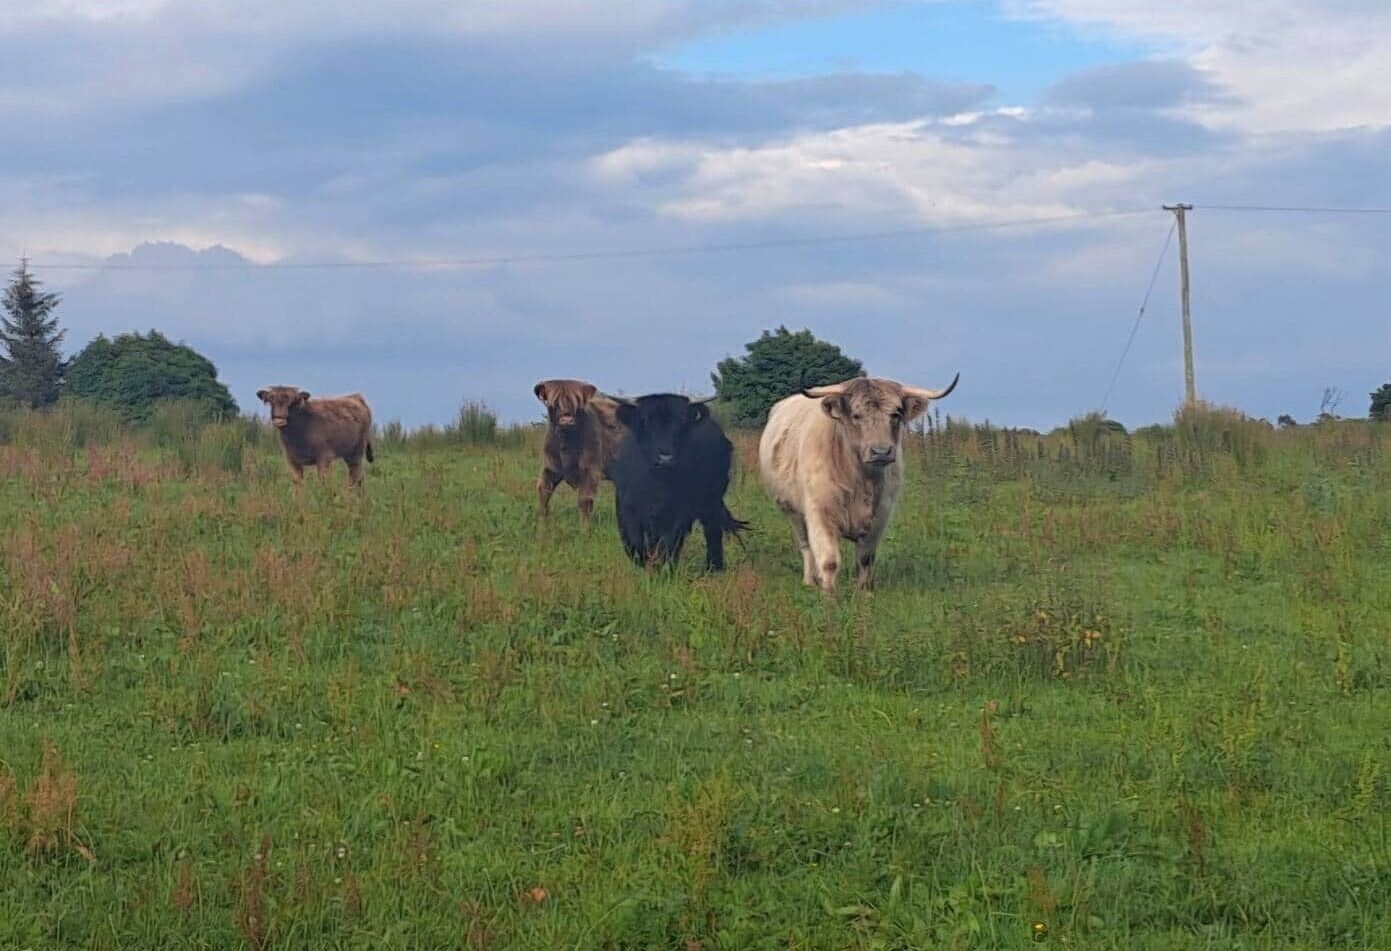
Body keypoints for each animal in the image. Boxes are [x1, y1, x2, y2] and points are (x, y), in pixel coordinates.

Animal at [533, 378, 623, 524]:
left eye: (576, 403)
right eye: (554, 403)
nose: (566, 419)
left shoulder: (590, 469)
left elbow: (585, 500)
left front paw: (584, 528)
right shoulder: (550, 467)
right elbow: (544, 492)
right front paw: (541, 524)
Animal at [607, 393, 748, 571]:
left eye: (682, 422)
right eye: (645, 421)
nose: (665, 457)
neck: (657, 485)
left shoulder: (679, 511)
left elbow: (668, 543)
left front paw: (664, 570)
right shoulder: (627, 508)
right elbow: (634, 544)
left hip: (712, 500)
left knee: (712, 530)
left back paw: (714, 567)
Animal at [758, 374, 958, 592]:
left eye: (896, 414)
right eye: (856, 415)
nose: (881, 452)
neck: (860, 481)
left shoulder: (880, 515)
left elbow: (865, 559)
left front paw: (865, 593)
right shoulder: (820, 512)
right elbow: (829, 560)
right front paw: (829, 595)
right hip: (792, 511)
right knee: (806, 546)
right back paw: (810, 580)